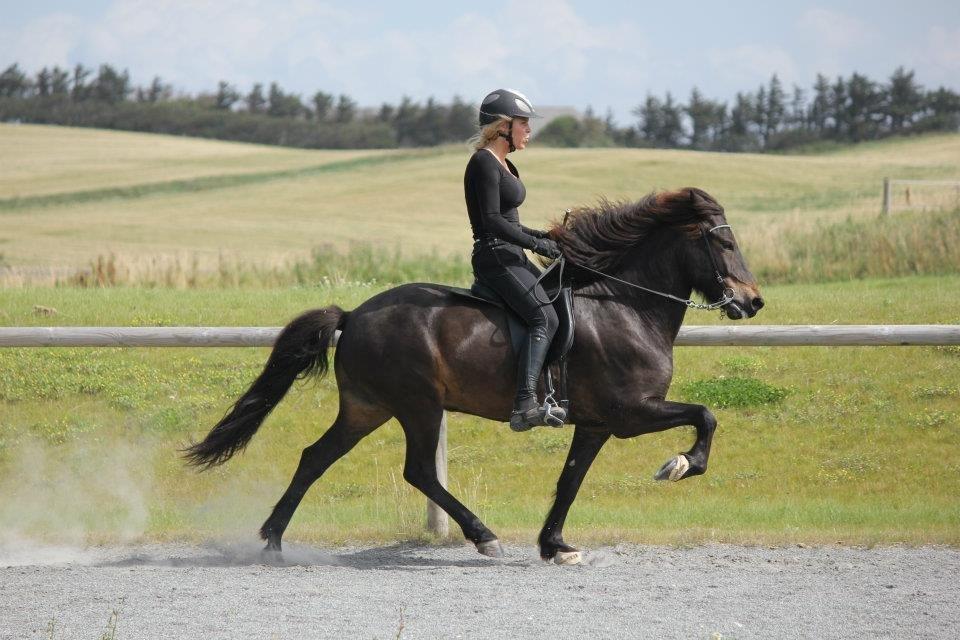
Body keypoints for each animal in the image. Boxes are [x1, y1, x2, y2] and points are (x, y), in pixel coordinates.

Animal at [182, 186, 764, 564]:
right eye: (724, 243)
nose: (753, 301)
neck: (627, 307)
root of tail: (353, 315)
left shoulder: (596, 424)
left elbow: (570, 479)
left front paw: (555, 546)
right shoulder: (630, 413)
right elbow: (705, 415)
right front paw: (680, 465)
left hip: (368, 408)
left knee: (315, 458)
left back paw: (273, 540)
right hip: (418, 405)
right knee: (418, 470)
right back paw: (483, 534)